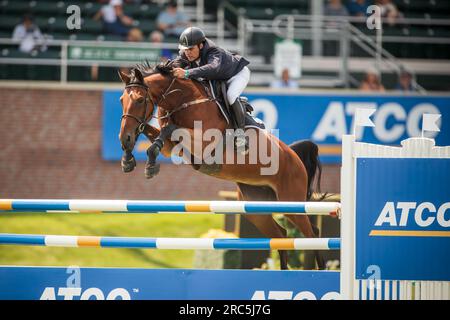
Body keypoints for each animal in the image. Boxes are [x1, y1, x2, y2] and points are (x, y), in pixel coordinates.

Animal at [118, 60, 326, 270]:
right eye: (121, 100)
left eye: (140, 100)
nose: (124, 138)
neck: (183, 100)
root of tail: (294, 156)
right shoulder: (172, 147)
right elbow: (153, 131)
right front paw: (128, 159)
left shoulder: (204, 143)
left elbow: (170, 128)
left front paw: (148, 165)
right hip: (256, 207)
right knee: (281, 236)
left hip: (291, 202)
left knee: (313, 234)